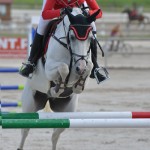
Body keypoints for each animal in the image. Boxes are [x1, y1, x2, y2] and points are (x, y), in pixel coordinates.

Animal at [17, 7, 100, 150]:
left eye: (91, 38)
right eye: (72, 37)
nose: (80, 68)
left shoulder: (85, 66)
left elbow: (89, 66)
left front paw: (77, 86)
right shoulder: (49, 69)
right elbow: (63, 68)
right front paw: (57, 88)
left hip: (67, 112)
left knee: (56, 133)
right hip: (29, 106)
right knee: (25, 130)